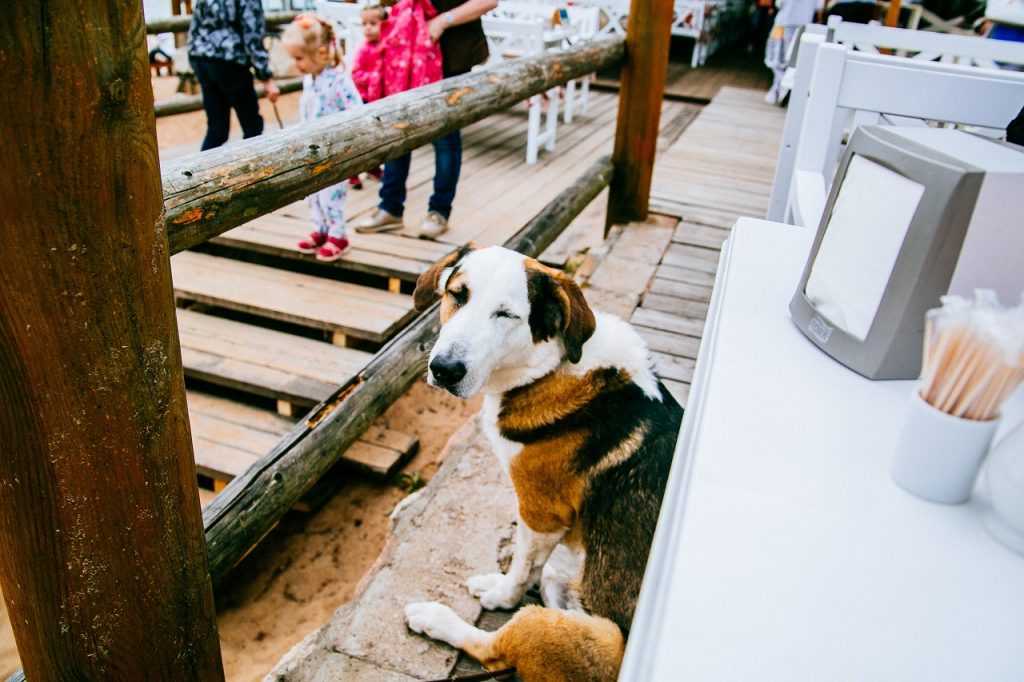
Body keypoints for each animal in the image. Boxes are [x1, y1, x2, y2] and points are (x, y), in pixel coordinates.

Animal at [403, 244, 684, 679]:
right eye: (458, 295)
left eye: (506, 315)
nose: (444, 370)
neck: (550, 368)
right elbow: (530, 565)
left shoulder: (541, 512)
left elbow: (521, 566)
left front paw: (502, 594)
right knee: (550, 580)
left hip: (570, 632)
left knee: (496, 649)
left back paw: (435, 618)